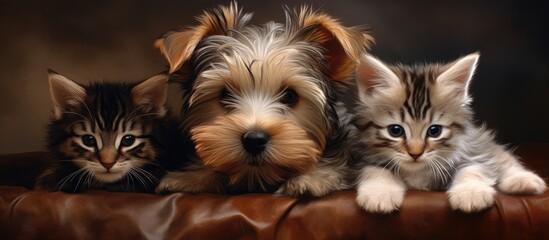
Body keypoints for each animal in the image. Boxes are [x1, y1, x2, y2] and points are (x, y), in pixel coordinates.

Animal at [352, 53, 544, 213]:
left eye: (434, 131)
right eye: (395, 131)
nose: (415, 154)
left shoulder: (471, 154)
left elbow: (473, 169)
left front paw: (471, 194)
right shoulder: (364, 159)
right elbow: (376, 171)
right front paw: (379, 194)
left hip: (480, 142)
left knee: (502, 158)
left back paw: (524, 180)